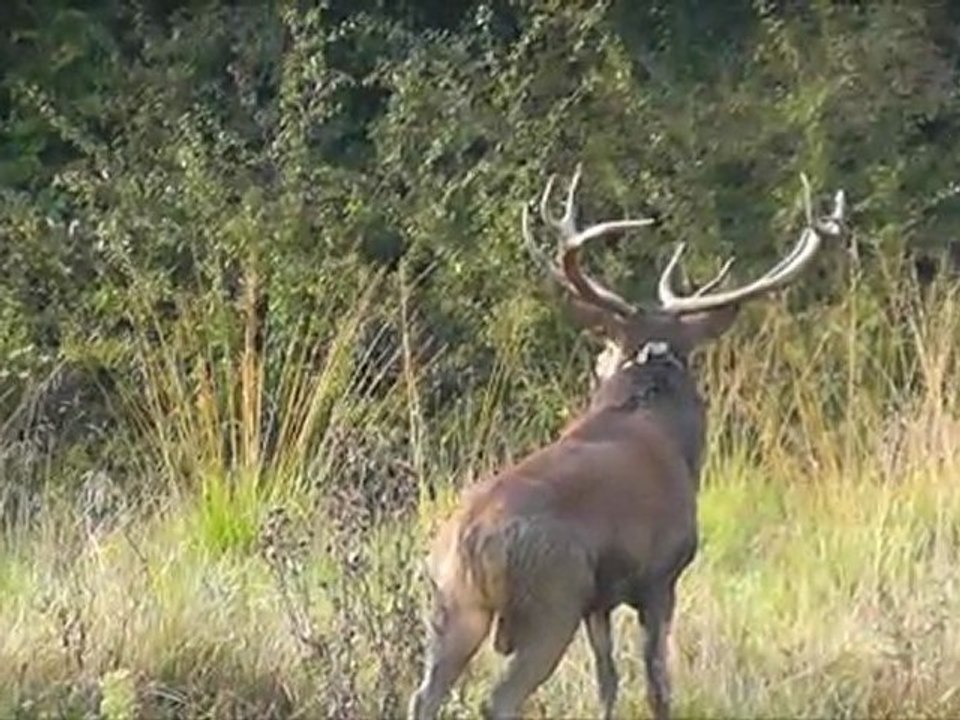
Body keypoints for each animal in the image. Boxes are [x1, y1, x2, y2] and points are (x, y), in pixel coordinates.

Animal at [408, 167, 845, 720]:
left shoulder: (600, 601)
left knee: (425, 694)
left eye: (602, 356)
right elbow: (658, 683)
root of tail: (469, 540)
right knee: (499, 699)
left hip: (455, 604)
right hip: (552, 598)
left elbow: (608, 680)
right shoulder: (661, 575)